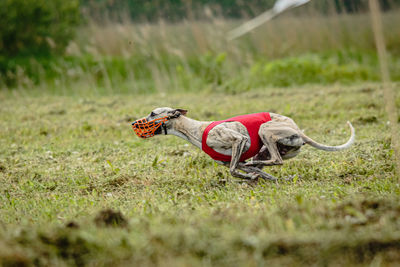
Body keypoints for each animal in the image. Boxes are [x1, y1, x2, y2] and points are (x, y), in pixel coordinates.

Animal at [133, 107, 354, 182]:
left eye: (153, 113)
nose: (134, 123)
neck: (196, 129)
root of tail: (299, 131)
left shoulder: (239, 141)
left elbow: (234, 170)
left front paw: (248, 177)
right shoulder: (233, 159)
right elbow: (243, 170)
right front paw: (254, 178)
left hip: (265, 131)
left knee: (276, 160)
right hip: (265, 150)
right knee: (268, 163)